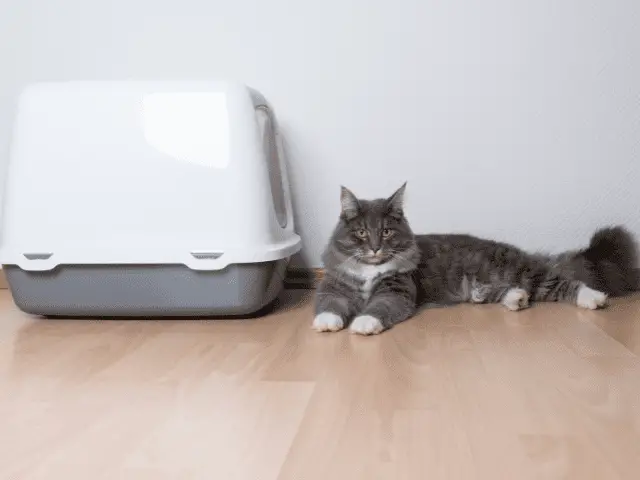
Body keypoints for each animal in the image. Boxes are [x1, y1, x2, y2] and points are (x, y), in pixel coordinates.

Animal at [312, 182, 636, 336]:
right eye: (362, 233)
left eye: (387, 231)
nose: (376, 248)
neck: (370, 270)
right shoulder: (334, 288)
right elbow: (329, 305)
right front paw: (327, 322)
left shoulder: (396, 291)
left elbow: (377, 307)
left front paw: (363, 323)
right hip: (484, 286)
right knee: (511, 293)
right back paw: (516, 299)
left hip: (525, 271)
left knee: (563, 282)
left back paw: (593, 297)